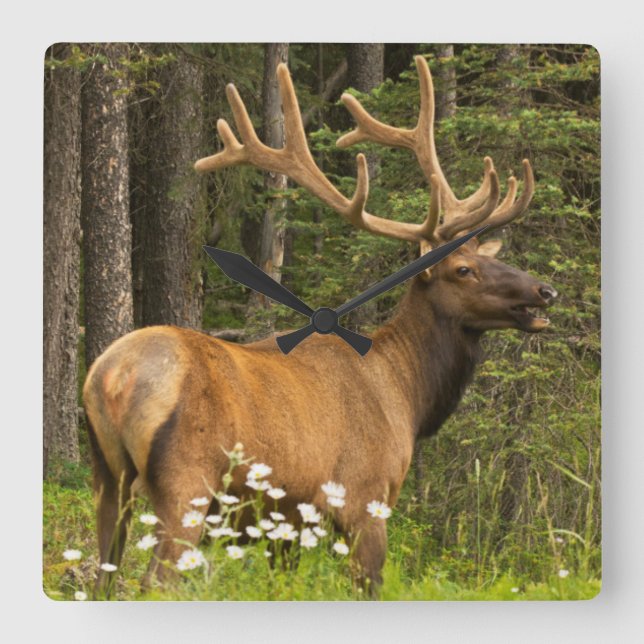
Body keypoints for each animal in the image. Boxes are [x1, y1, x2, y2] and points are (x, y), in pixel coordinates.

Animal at [83, 55, 557, 597]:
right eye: (463, 269)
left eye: (490, 257)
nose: (544, 291)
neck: (408, 395)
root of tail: (112, 378)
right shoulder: (365, 497)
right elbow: (371, 584)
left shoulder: (286, 524)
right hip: (187, 482)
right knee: (157, 580)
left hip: (107, 478)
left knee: (103, 575)